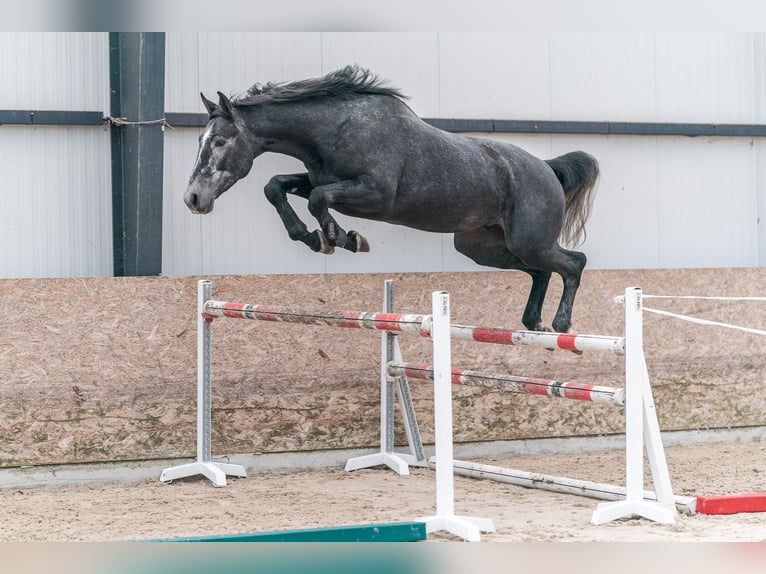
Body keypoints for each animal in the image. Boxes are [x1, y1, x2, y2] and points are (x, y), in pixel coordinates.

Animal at [184, 64, 600, 332]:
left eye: (220, 141)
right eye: (201, 139)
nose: (193, 199)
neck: (336, 128)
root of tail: (547, 168)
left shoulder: (375, 195)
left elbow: (317, 199)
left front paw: (342, 239)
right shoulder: (321, 178)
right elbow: (276, 186)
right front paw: (313, 237)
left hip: (528, 241)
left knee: (572, 263)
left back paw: (562, 324)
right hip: (484, 247)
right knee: (542, 270)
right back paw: (534, 323)